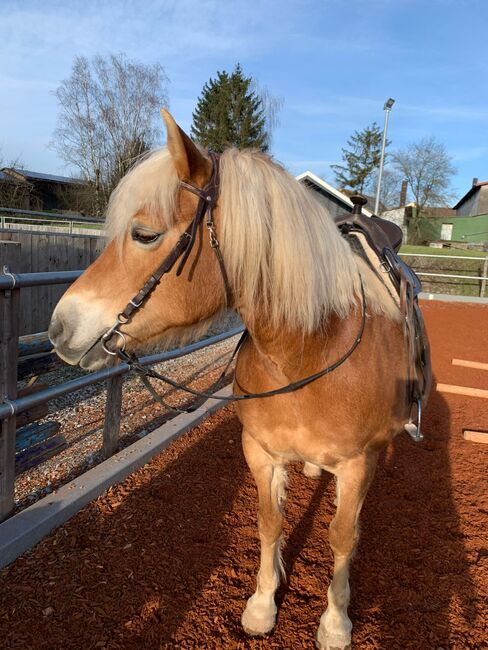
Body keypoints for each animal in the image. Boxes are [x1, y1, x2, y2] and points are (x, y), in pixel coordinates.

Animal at [48, 111, 430, 648]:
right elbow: (269, 522)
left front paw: (335, 621)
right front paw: (262, 604)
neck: (308, 356)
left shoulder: (359, 464)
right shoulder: (261, 451)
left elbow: (342, 536)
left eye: (143, 234)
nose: (59, 326)